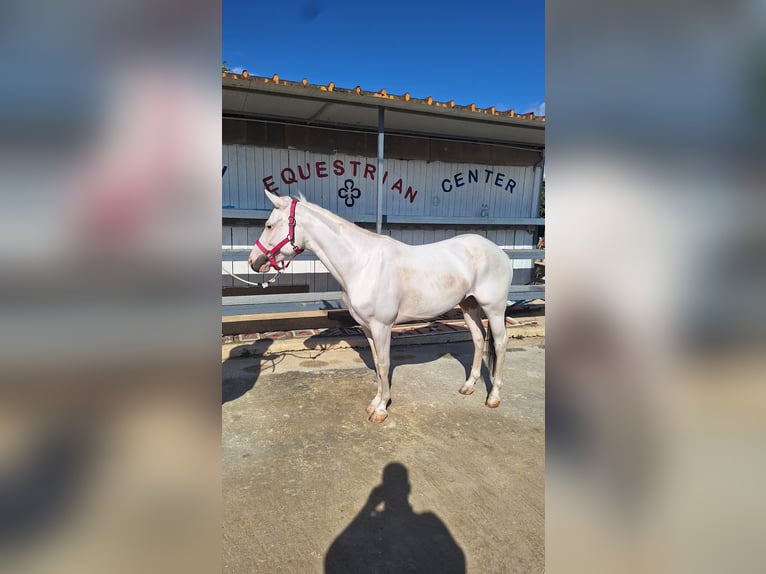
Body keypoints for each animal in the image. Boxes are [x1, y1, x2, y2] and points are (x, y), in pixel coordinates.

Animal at [248, 190, 514, 423]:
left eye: (269, 225)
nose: (254, 262)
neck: (362, 264)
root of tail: (500, 253)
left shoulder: (382, 326)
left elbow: (385, 364)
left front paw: (381, 410)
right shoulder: (367, 328)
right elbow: (377, 363)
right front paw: (375, 403)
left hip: (494, 308)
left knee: (500, 344)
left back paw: (493, 397)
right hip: (469, 306)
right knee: (478, 339)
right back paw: (469, 386)